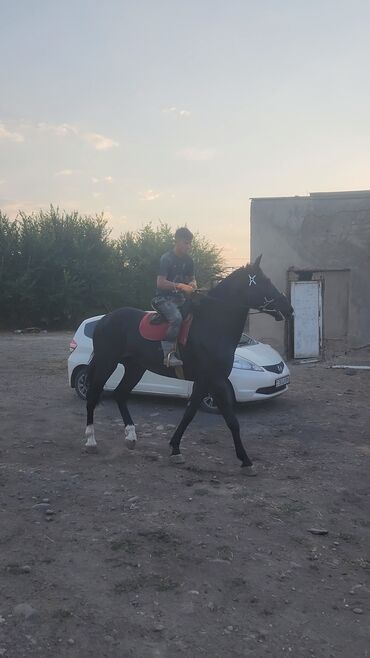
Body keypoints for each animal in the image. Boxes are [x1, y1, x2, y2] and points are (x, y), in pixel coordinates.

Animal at [84, 255, 292, 472]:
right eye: (265, 282)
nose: (288, 308)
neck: (213, 325)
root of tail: (105, 319)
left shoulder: (204, 381)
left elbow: (190, 413)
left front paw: (175, 449)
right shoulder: (216, 381)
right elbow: (231, 420)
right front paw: (246, 460)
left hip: (135, 368)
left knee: (120, 394)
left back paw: (131, 437)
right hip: (106, 363)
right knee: (92, 396)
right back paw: (91, 441)